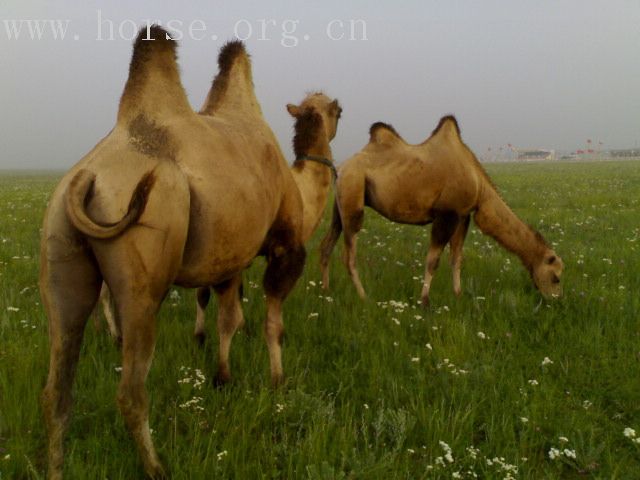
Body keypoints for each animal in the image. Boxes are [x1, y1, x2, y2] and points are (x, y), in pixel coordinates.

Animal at [40, 28, 308, 478]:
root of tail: (87, 180)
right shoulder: (287, 243)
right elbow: (271, 321)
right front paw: (277, 382)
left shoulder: (228, 257)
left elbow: (229, 319)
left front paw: (223, 378)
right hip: (143, 273)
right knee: (130, 390)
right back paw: (157, 467)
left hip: (59, 248)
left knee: (57, 386)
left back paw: (57, 467)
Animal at [318, 116, 564, 304]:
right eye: (556, 277)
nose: (555, 300)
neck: (479, 186)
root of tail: (340, 168)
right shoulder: (447, 213)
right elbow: (433, 260)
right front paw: (425, 300)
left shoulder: (463, 215)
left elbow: (456, 258)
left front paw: (458, 294)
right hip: (353, 193)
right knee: (348, 253)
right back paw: (363, 296)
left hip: (340, 204)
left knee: (327, 244)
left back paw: (326, 291)